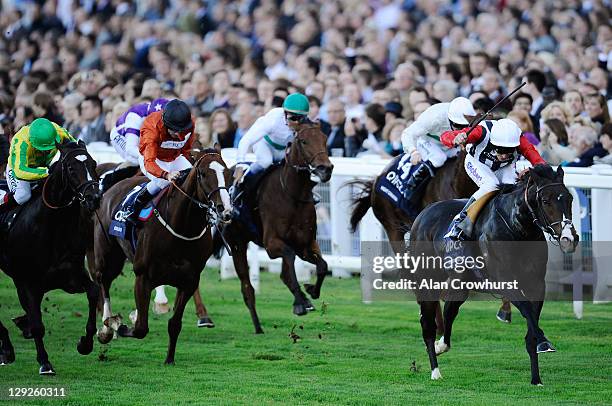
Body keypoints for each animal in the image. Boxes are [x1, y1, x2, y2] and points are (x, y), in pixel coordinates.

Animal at [0, 141, 101, 376]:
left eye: (94, 164)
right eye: (71, 169)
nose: (94, 198)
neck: (52, 224)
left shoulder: (71, 276)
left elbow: (93, 292)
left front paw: (85, 343)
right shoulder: (28, 282)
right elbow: (38, 324)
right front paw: (45, 362)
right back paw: (7, 349)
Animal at [92, 149, 232, 364]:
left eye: (226, 172)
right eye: (202, 174)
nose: (224, 209)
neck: (182, 227)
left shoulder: (189, 281)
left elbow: (174, 324)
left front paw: (169, 359)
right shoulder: (143, 276)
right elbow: (140, 328)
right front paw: (121, 325)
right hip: (108, 255)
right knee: (103, 281)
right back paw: (107, 328)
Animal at [213, 121, 332, 334]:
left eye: (325, 139)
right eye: (303, 141)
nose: (325, 169)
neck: (292, 195)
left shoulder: (305, 244)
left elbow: (322, 266)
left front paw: (311, 291)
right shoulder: (271, 243)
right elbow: (289, 262)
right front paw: (300, 302)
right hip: (237, 244)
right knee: (247, 288)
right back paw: (258, 327)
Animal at [408, 165, 576, 384]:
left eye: (569, 199)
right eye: (546, 201)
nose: (569, 238)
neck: (518, 229)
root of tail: (422, 214)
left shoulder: (537, 284)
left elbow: (531, 324)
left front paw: (536, 377)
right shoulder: (505, 281)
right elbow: (527, 311)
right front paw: (544, 341)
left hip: (461, 284)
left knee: (450, 311)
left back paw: (440, 346)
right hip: (427, 281)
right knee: (428, 324)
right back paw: (435, 371)